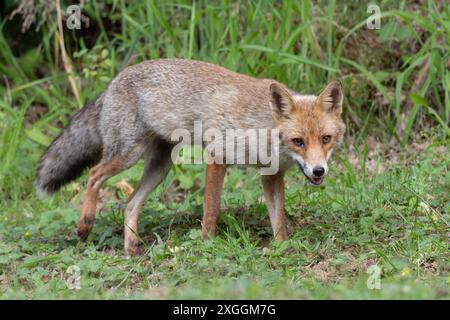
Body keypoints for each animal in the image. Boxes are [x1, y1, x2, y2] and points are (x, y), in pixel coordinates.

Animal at [37, 58, 346, 256]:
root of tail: (114, 80)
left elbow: (278, 219)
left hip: (159, 167)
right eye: (298, 142)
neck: (263, 130)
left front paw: (282, 247)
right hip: (127, 155)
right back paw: (84, 224)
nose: (319, 171)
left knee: (129, 203)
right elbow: (211, 211)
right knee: (93, 175)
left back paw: (130, 247)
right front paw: (207, 244)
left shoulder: (272, 175)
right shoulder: (217, 156)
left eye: (326, 139)